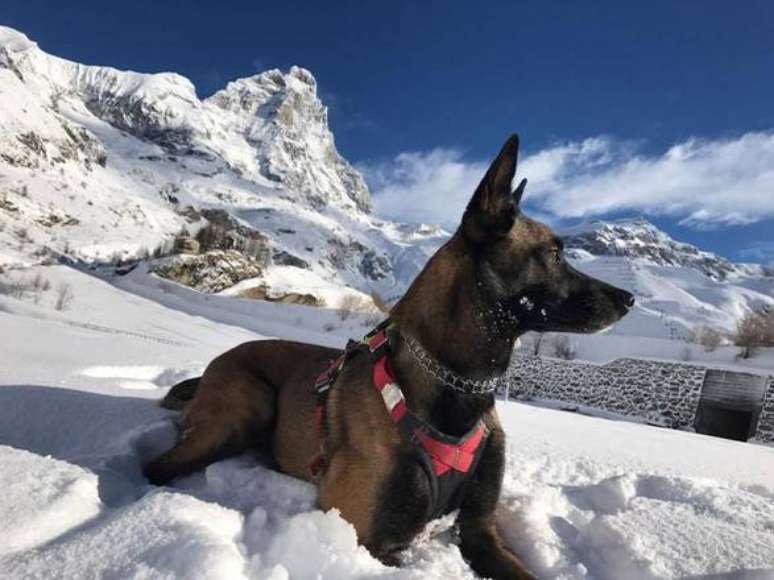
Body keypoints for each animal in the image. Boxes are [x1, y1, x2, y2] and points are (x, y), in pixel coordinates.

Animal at [146, 134, 636, 576]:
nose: (629, 299)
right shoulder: (371, 541)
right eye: (553, 252)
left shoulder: (481, 531)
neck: (457, 385)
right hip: (247, 406)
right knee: (155, 466)